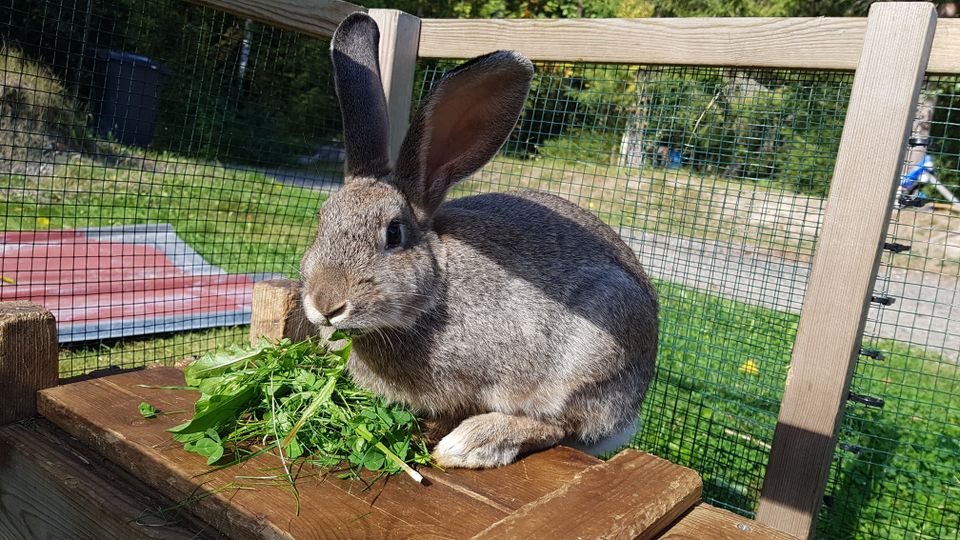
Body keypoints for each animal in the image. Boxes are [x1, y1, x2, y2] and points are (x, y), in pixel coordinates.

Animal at [302, 12, 660, 468]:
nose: (326, 305)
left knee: (561, 425)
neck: (438, 285)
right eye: (322, 219)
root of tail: (632, 409)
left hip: (595, 353)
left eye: (393, 233)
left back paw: (472, 443)